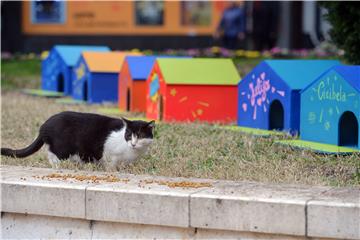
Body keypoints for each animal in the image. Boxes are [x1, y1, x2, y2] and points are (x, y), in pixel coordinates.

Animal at [1, 112, 156, 171]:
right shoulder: (110, 155)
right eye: (129, 135)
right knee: (52, 154)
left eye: (140, 136)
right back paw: (58, 165)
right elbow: (110, 166)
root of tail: (44, 126)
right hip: (63, 147)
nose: (133, 143)